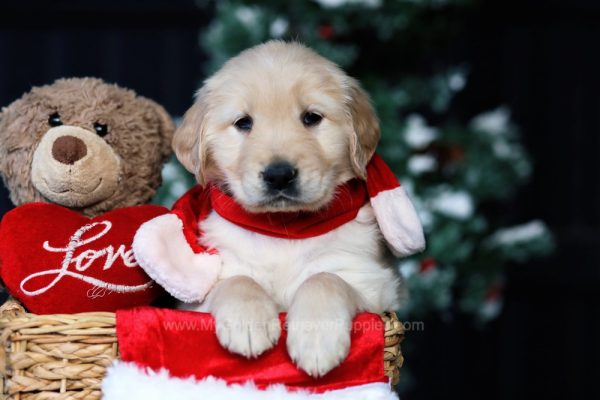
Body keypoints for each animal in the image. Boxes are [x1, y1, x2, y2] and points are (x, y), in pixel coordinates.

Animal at [173, 42, 408, 376]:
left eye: (311, 117)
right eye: (243, 123)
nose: (279, 175)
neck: (283, 228)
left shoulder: (373, 282)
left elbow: (324, 279)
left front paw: (317, 340)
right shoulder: (196, 300)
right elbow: (237, 280)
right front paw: (249, 323)